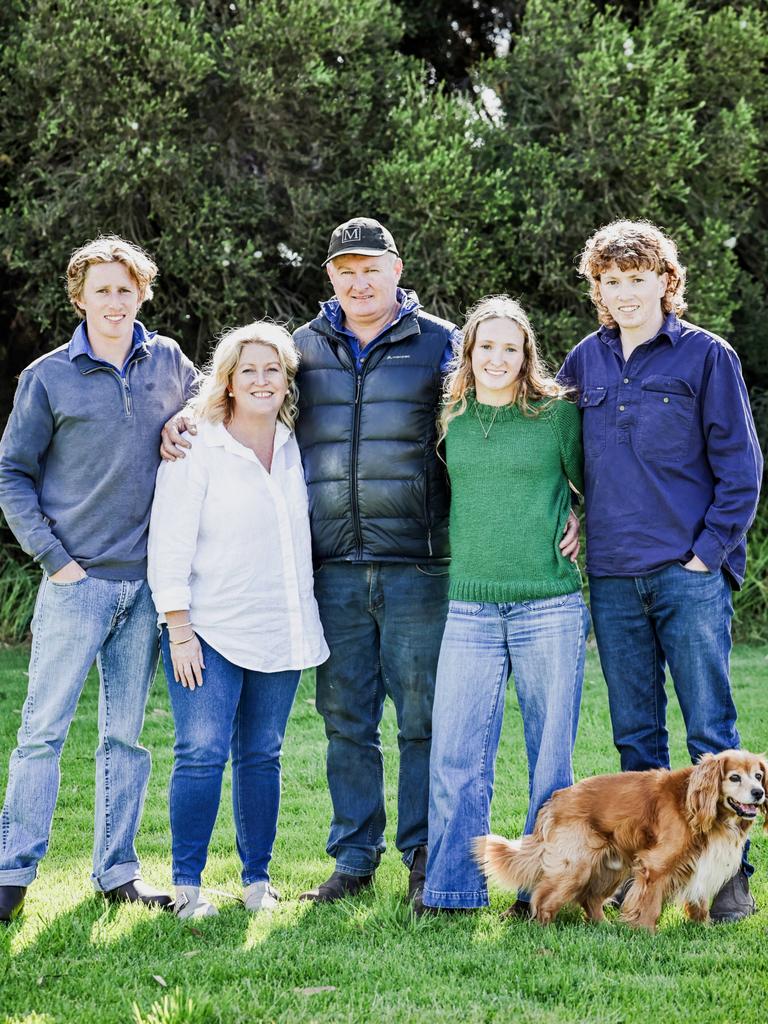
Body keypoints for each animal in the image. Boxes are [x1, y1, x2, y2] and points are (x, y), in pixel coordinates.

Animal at [479, 749, 765, 933]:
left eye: (759, 776)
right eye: (734, 777)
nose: (759, 793)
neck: (695, 804)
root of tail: (554, 800)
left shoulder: (700, 862)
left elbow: (700, 901)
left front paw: (703, 927)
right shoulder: (656, 866)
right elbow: (649, 904)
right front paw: (646, 933)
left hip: (610, 868)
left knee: (590, 900)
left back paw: (603, 926)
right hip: (575, 867)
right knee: (543, 898)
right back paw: (543, 929)